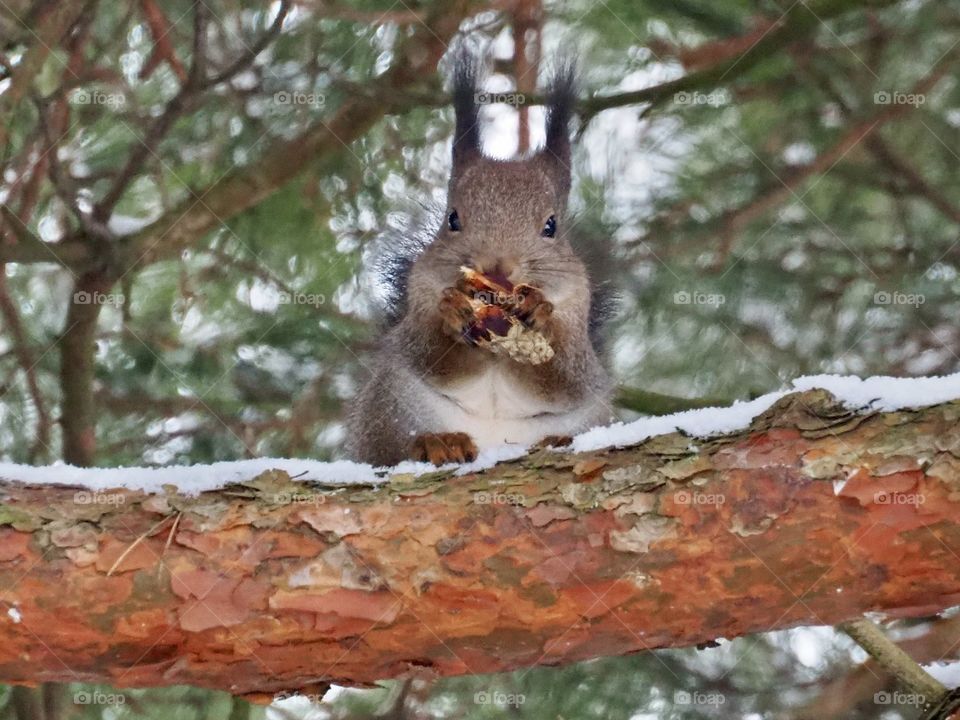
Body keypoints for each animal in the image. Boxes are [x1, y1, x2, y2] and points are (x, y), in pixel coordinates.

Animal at [346, 53, 615, 466]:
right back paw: (438, 443)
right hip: (389, 407)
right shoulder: (418, 304)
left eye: (551, 226)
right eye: (453, 219)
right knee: (391, 449)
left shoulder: (578, 328)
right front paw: (452, 313)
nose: (497, 268)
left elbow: (564, 376)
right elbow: (430, 354)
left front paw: (539, 313)